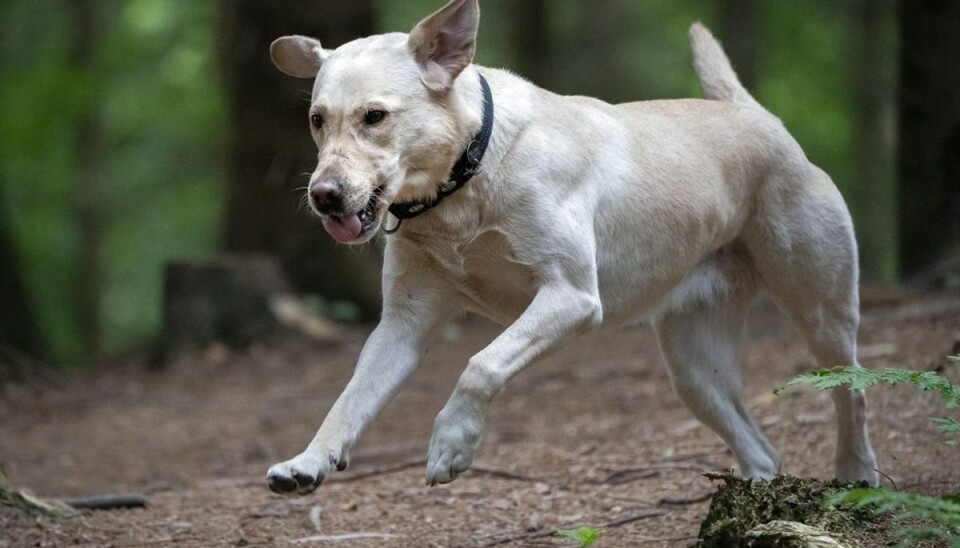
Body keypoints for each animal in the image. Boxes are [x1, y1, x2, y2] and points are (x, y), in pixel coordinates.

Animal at [262, 0, 876, 496]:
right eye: (317, 121)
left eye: (375, 116)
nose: (323, 196)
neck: (466, 180)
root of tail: (759, 115)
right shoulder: (402, 326)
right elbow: (348, 398)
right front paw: (308, 461)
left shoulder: (572, 296)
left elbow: (481, 364)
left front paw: (451, 444)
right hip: (695, 371)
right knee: (761, 448)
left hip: (822, 311)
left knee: (853, 391)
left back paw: (857, 474)